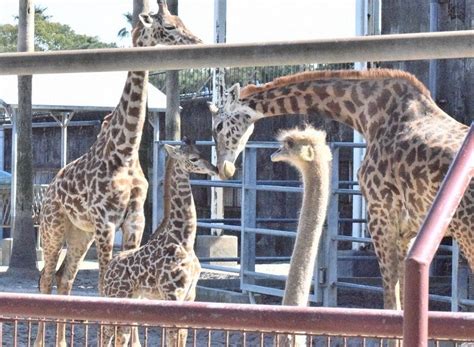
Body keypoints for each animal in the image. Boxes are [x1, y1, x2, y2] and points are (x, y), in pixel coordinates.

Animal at [33, 2, 202, 346]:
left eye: (181, 20)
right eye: (168, 26)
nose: (197, 41)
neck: (124, 152)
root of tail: (51, 186)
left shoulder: (135, 220)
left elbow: (125, 286)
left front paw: (131, 341)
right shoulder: (106, 221)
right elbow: (103, 283)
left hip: (79, 233)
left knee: (64, 279)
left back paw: (62, 341)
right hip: (54, 227)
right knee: (46, 278)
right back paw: (42, 341)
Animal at [103, 139, 218, 347]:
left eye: (202, 152)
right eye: (193, 158)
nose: (215, 168)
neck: (185, 241)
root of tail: (109, 268)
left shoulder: (190, 296)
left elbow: (181, 337)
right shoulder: (173, 294)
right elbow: (173, 337)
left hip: (133, 298)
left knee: (121, 336)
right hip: (116, 295)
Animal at [212, 69, 474, 312]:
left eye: (218, 125)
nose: (224, 168)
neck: (366, 114)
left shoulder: (380, 215)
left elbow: (391, 301)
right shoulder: (407, 230)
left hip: (466, 231)